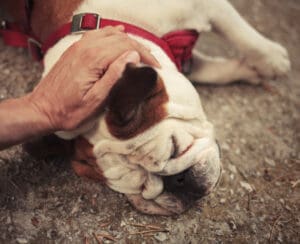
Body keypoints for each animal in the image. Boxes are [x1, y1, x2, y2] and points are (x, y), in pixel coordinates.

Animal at [0, 0, 290, 214]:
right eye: (139, 188)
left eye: (175, 148)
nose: (177, 181)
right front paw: (251, 69)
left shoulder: (207, 7)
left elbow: (241, 34)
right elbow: (213, 70)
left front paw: (271, 61)